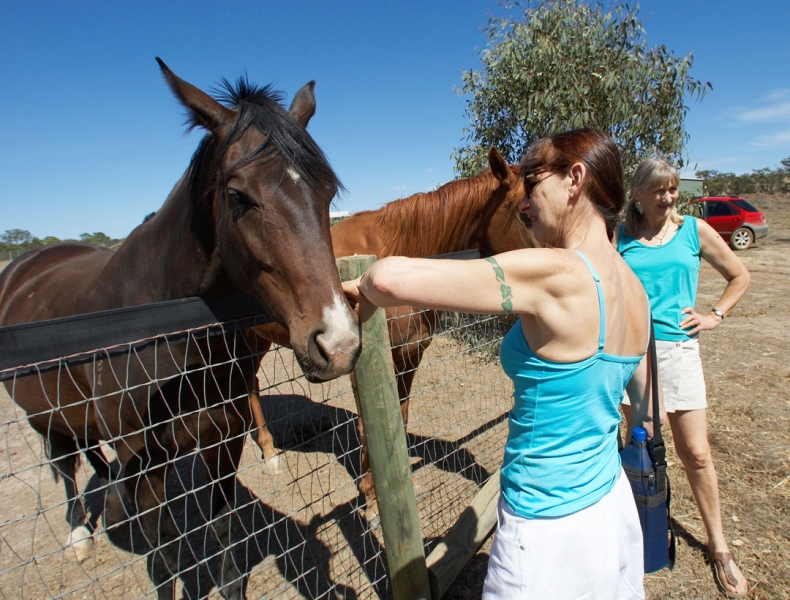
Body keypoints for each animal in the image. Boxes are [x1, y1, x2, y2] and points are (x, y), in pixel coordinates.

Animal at [0, 59, 360, 599]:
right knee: (64, 463)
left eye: (326, 192)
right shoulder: (146, 468)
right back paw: (80, 534)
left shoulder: (223, 444)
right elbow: (167, 554)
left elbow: (226, 536)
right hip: (41, 418)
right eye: (237, 195)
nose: (338, 343)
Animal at [249, 147, 535, 515]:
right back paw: (268, 455)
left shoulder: (410, 354)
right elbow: (367, 428)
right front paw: (371, 499)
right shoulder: (359, 363)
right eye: (526, 214)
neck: (401, 254)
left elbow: (400, 416)